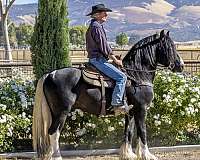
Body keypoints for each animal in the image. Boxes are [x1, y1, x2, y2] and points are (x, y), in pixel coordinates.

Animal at [32, 29, 184, 159]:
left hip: (54, 112)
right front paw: (147, 155)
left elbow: (129, 132)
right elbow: (142, 131)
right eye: (170, 47)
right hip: (61, 111)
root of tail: (50, 74)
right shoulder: (141, 109)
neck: (137, 75)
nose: (181, 65)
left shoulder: (131, 111)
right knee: (53, 133)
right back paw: (57, 156)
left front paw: (128, 154)